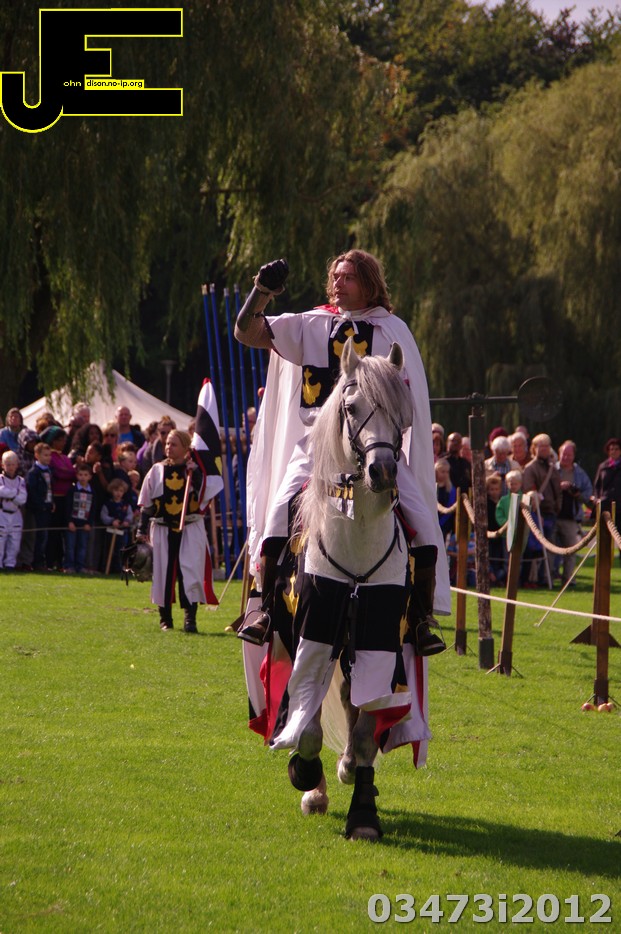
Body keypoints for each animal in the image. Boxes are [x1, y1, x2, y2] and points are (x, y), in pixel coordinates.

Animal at [268, 337, 428, 840]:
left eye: (401, 409)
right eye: (352, 407)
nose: (382, 470)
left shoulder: (380, 643)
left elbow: (363, 732)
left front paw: (362, 811)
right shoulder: (312, 634)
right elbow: (308, 723)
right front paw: (306, 777)